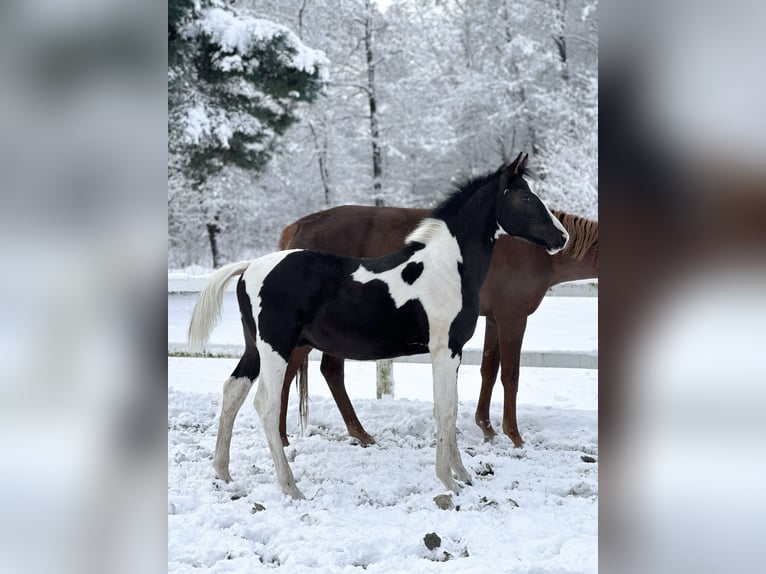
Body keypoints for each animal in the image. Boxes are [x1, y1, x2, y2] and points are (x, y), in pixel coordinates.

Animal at [277, 208, 597, 448]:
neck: (532, 250)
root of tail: (299, 226)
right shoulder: (512, 317)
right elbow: (510, 375)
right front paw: (514, 436)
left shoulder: (494, 319)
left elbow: (489, 370)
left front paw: (487, 428)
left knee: (326, 372)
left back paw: (359, 434)